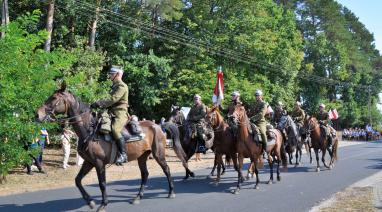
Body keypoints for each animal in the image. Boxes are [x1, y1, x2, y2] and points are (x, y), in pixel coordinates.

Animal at [35, 83, 175, 211]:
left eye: (54, 98)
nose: (37, 114)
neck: (90, 131)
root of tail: (158, 126)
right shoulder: (88, 162)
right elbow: (77, 180)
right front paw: (90, 201)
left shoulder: (99, 163)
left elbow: (102, 184)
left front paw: (103, 204)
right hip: (142, 157)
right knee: (145, 174)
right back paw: (138, 197)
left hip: (158, 154)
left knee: (166, 169)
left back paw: (171, 192)